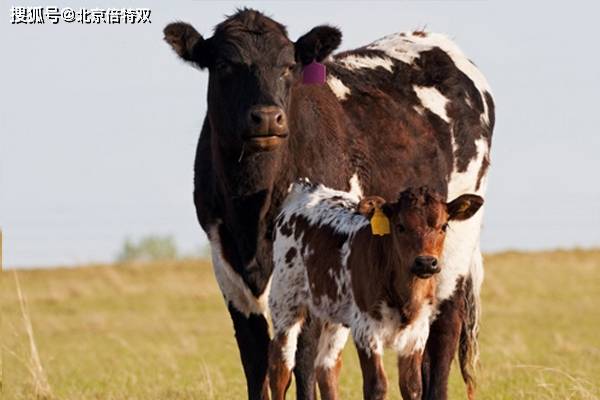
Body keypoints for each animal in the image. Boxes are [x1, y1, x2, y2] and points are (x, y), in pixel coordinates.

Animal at [270, 182, 486, 400]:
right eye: (400, 226)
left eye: (443, 226)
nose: (426, 262)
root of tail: (306, 188)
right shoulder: (366, 328)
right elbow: (377, 386)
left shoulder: (417, 332)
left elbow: (412, 386)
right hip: (285, 301)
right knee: (281, 367)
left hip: (334, 313)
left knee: (326, 366)